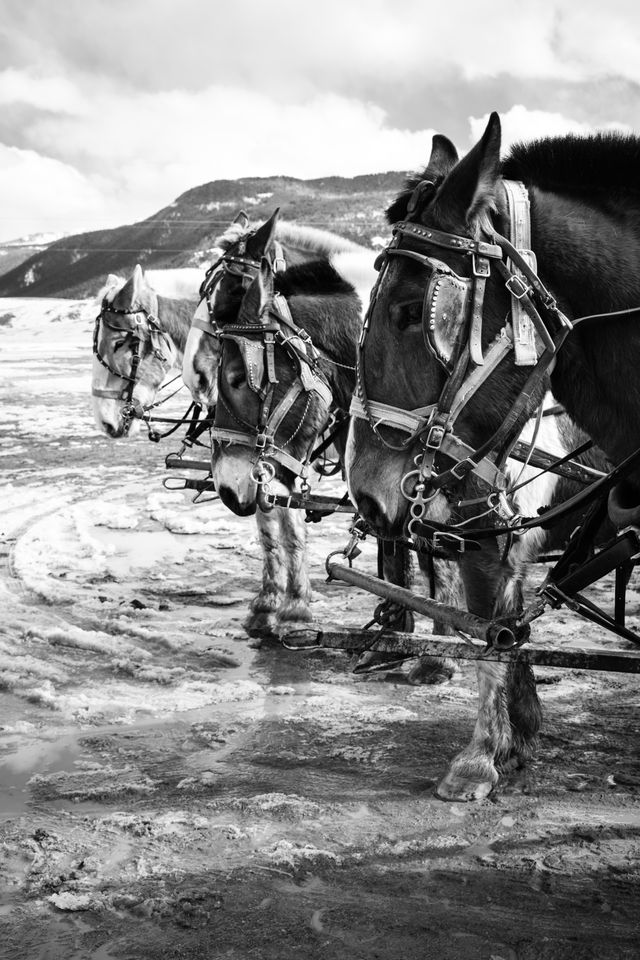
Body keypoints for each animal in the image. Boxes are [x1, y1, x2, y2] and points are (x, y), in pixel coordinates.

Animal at [344, 114, 636, 804]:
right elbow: (497, 631)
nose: (365, 491)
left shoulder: (488, 542)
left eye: (411, 311)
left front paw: (480, 757)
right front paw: (513, 738)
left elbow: (491, 636)